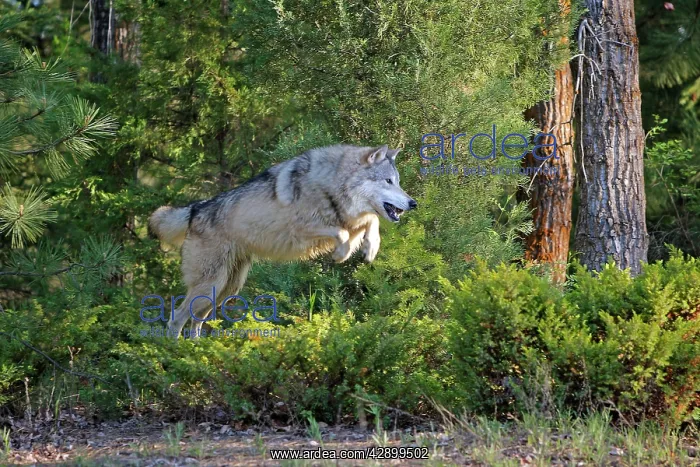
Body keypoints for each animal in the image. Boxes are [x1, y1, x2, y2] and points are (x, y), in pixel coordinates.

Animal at [148, 144, 417, 337]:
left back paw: (198, 351)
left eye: (398, 182)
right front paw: (342, 253)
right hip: (211, 286)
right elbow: (342, 233)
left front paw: (371, 247)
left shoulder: (352, 219)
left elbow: (371, 220)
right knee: (176, 319)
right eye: (388, 181)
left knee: (195, 322)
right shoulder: (301, 229)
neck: (331, 183)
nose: (413, 203)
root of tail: (196, 208)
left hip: (225, 289)